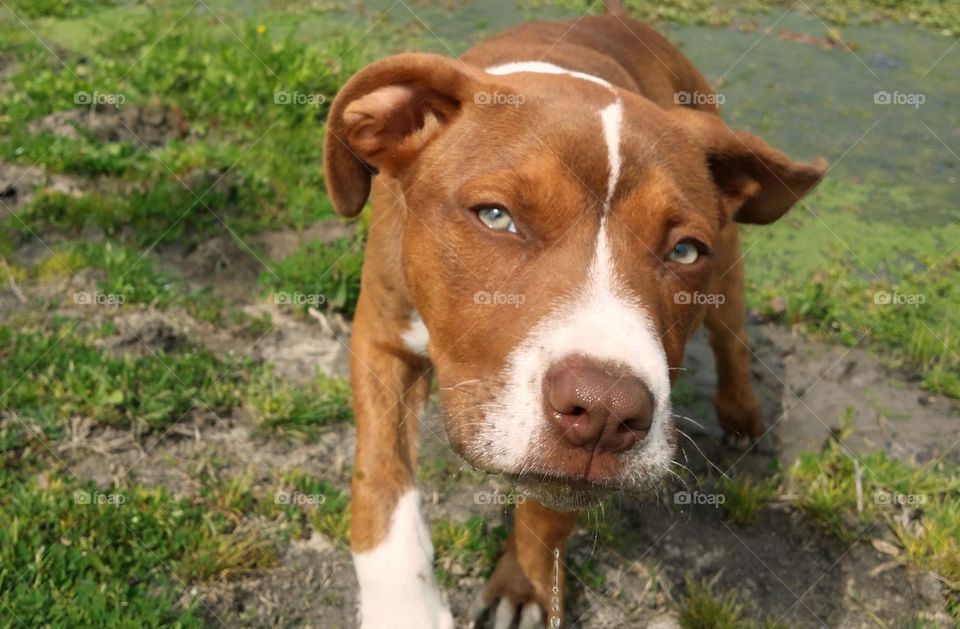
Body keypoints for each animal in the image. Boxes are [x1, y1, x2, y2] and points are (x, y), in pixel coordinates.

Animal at [320, 2, 824, 624]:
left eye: (684, 251)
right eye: (495, 216)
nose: (607, 413)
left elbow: (550, 510)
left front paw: (524, 587)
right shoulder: (381, 337)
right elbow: (381, 482)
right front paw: (404, 607)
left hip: (728, 270)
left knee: (731, 336)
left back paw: (742, 414)